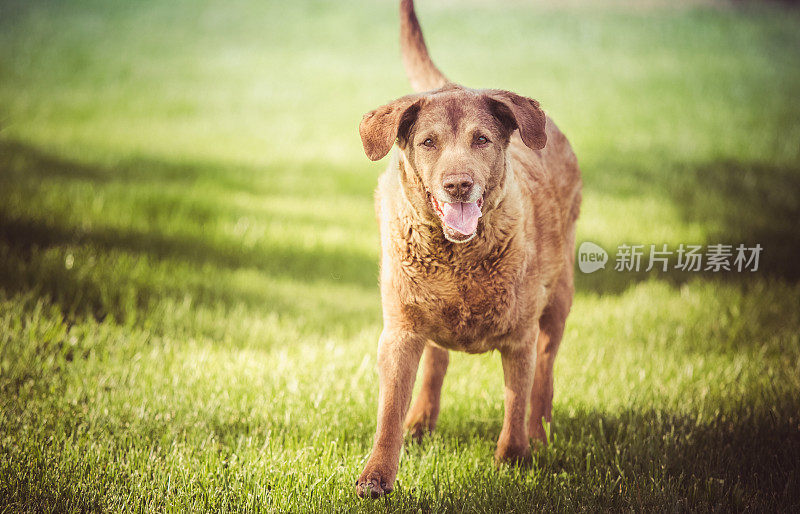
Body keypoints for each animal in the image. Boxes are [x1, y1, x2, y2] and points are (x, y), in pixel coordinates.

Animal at [356, 0, 580, 496]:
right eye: (427, 142)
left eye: (482, 139)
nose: (458, 184)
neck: (458, 260)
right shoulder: (400, 331)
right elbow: (388, 411)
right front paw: (376, 476)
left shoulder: (519, 338)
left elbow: (516, 404)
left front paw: (513, 463)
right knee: (435, 362)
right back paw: (420, 423)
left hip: (559, 298)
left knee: (546, 373)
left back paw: (540, 434)